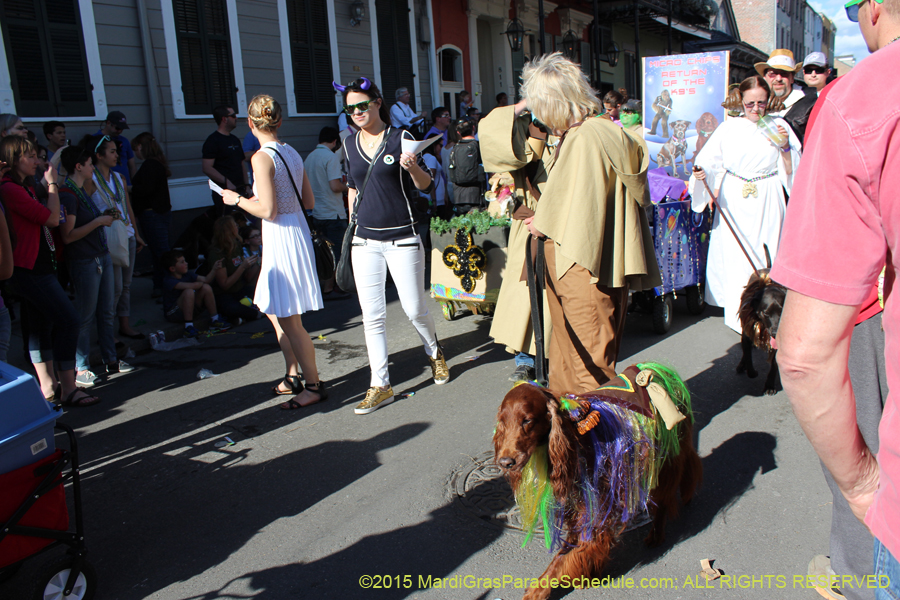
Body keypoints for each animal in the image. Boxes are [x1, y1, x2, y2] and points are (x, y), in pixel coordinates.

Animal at [496, 372, 700, 596]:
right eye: (502, 422)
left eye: (527, 420)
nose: (505, 462)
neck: (573, 438)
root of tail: (655, 370)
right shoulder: (576, 504)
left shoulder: (594, 507)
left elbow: (564, 557)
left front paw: (539, 590)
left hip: (665, 456)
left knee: (665, 496)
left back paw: (656, 534)